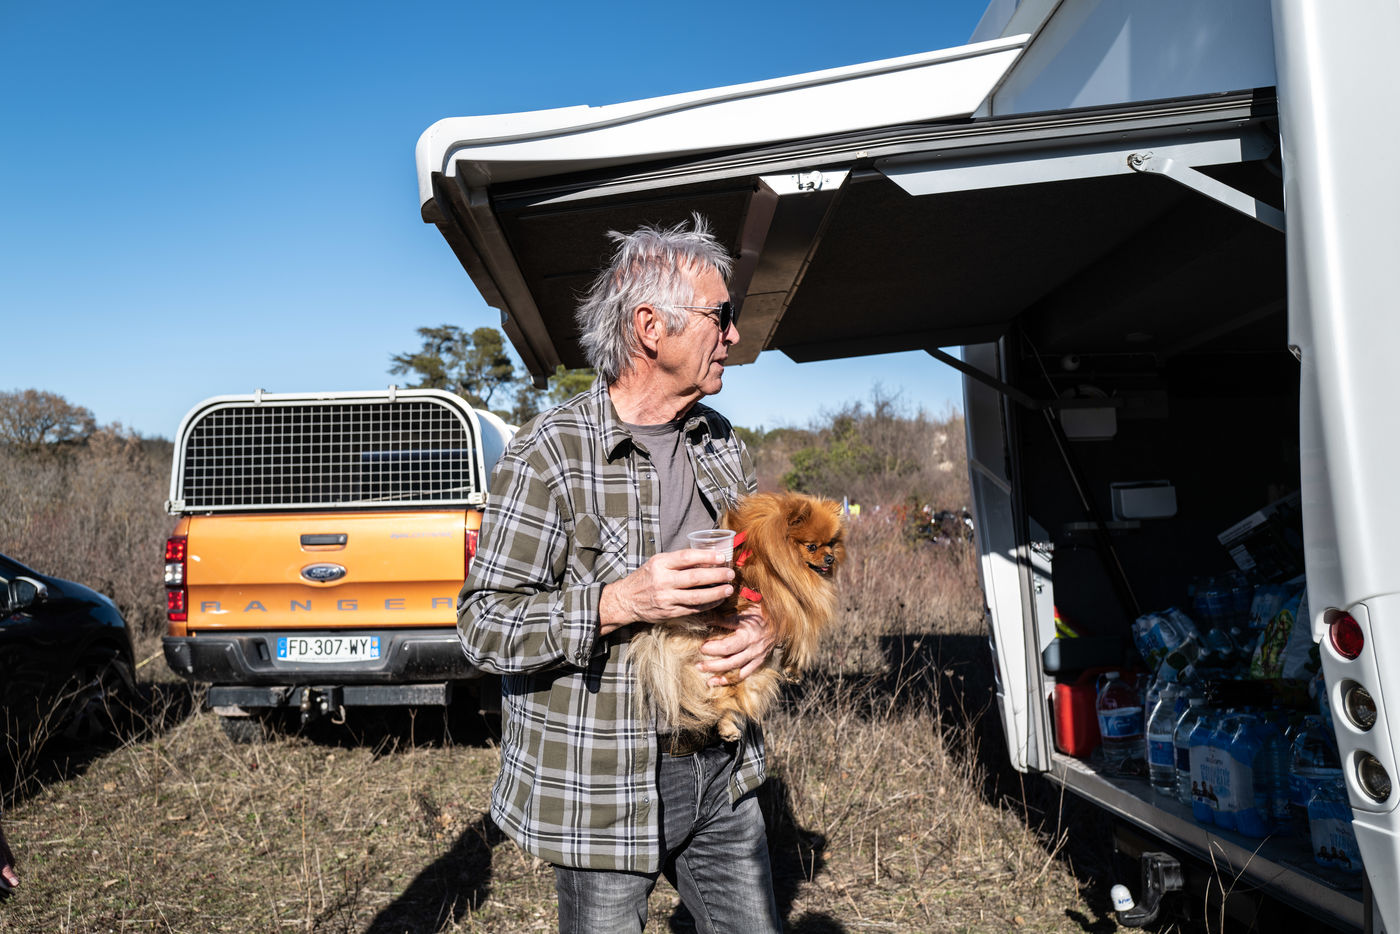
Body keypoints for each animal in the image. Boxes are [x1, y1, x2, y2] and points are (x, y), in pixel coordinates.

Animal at [630, 491, 846, 743]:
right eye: (812, 546)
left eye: (831, 543)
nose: (830, 558)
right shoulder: (791, 599)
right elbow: (801, 633)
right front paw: (795, 665)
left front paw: (793, 669)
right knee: (718, 700)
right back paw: (727, 727)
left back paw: (728, 727)